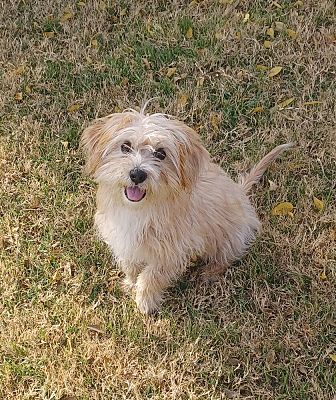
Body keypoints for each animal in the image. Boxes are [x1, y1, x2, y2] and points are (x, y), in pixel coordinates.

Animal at [80, 108, 292, 314]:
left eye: (161, 153)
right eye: (125, 146)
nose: (137, 174)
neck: (140, 209)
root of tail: (241, 192)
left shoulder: (171, 253)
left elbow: (151, 277)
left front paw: (145, 301)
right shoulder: (124, 241)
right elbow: (130, 266)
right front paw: (131, 284)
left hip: (231, 238)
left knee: (227, 258)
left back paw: (210, 272)